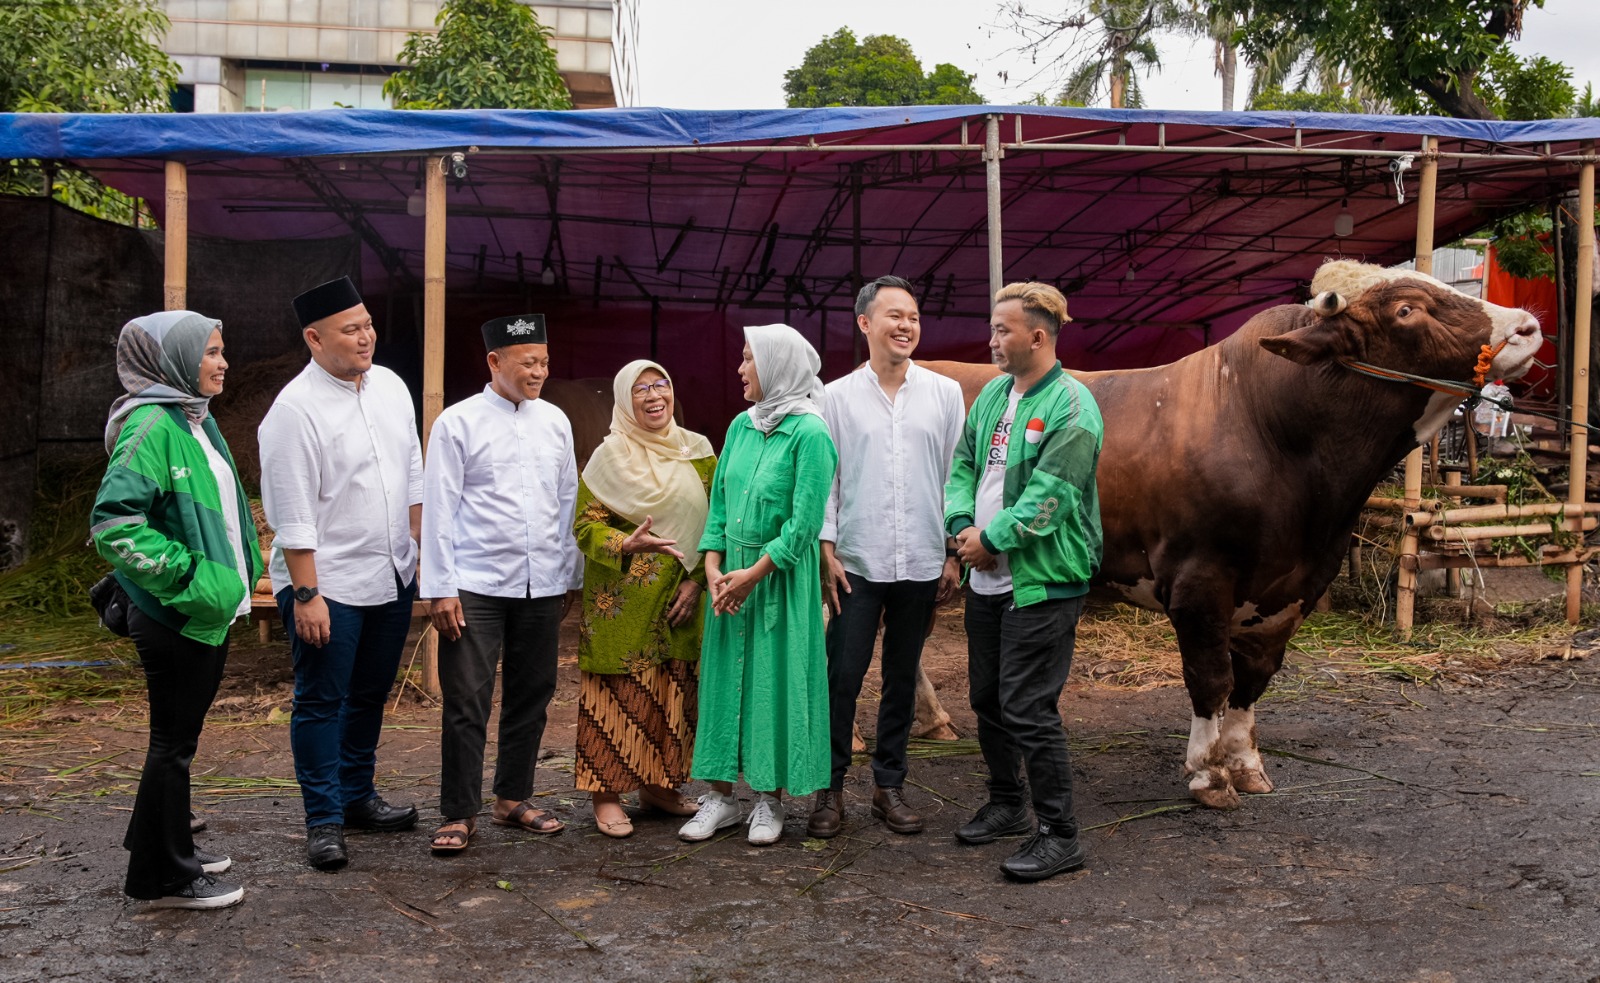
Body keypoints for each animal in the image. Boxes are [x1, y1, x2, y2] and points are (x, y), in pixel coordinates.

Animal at [928, 259, 1548, 810]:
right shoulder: (1199, 580)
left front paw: (1247, 765)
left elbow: (1253, 679)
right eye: (1406, 309)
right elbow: (1210, 679)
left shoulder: (1292, 588)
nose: (1527, 326)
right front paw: (1207, 774)